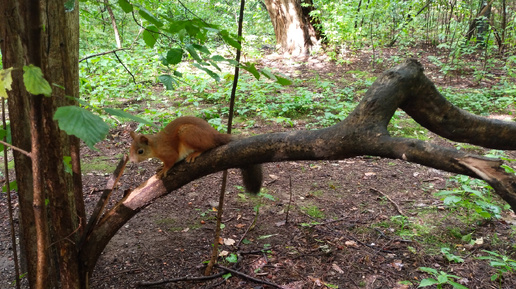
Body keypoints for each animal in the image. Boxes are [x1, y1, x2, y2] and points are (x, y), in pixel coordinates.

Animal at [129, 115, 262, 194]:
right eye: (130, 149)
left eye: (140, 151)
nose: (131, 161)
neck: (156, 145)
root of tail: (213, 135)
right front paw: (161, 166)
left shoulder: (169, 152)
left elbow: (171, 160)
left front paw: (164, 169)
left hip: (188, 133)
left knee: (208, 146)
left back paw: (195, 153)